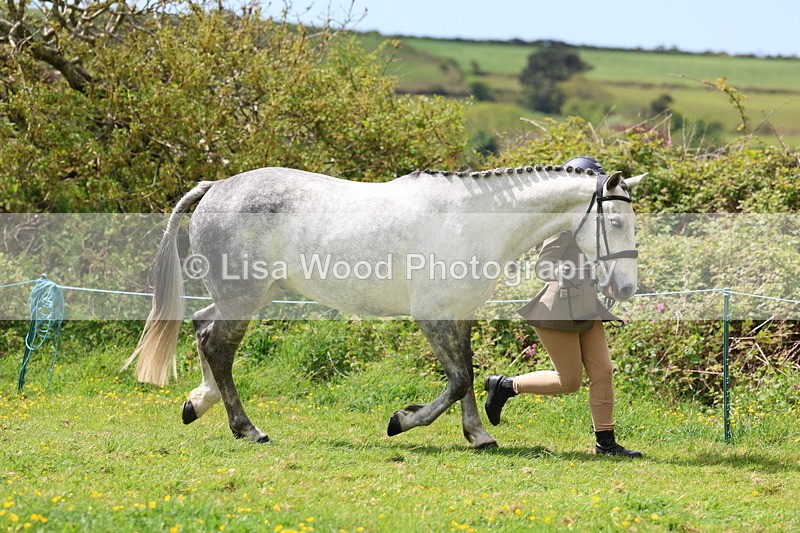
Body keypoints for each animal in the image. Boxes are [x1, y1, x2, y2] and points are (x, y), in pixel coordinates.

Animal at [125, 164, 646, 449]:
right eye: (616, 222)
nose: (625, 289)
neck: (472, 223)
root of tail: (215, 187)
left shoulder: (458, 313)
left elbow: (468, 374)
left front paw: (479, 435)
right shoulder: (433, 316)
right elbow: (458, 380)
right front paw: (403, 421)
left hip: (252, 293)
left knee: (202, 328)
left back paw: (198, 403)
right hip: (244, 296)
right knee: (219, 345)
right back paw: (248, 429)